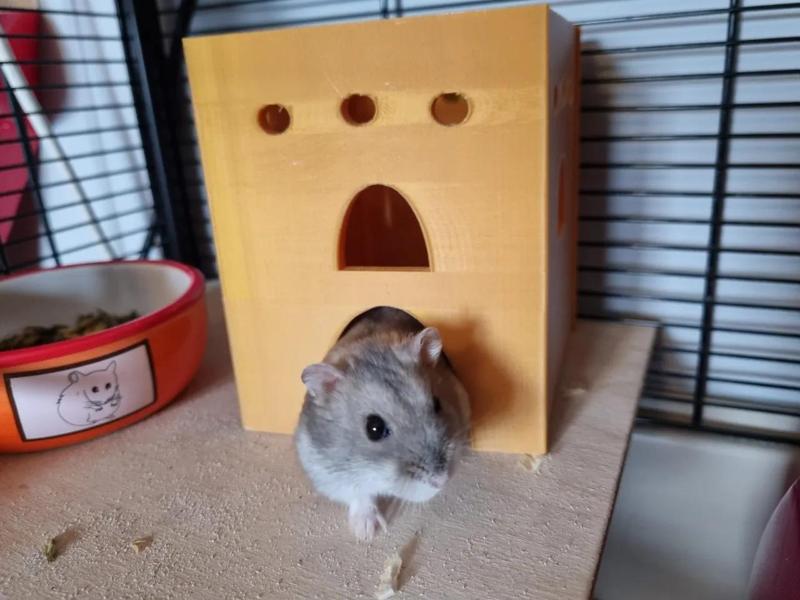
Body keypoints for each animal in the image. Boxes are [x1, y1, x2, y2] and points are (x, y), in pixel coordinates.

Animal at [295, 306, 470, 541]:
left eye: (437, 403)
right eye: (374, 428)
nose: (441, 481)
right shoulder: (327, 471)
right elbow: (360, 495)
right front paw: (366, 533)